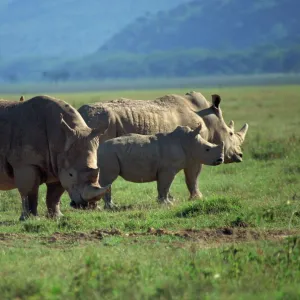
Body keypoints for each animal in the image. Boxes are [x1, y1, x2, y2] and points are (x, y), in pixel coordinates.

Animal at [78, 91, 247, 199]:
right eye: (231, 134)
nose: (240, 155)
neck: (209, 118)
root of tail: (81, 113)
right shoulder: (195, 150)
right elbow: (193, 176)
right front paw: (198, 198)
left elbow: (168, 181)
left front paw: (170, 198)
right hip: (99, 122)